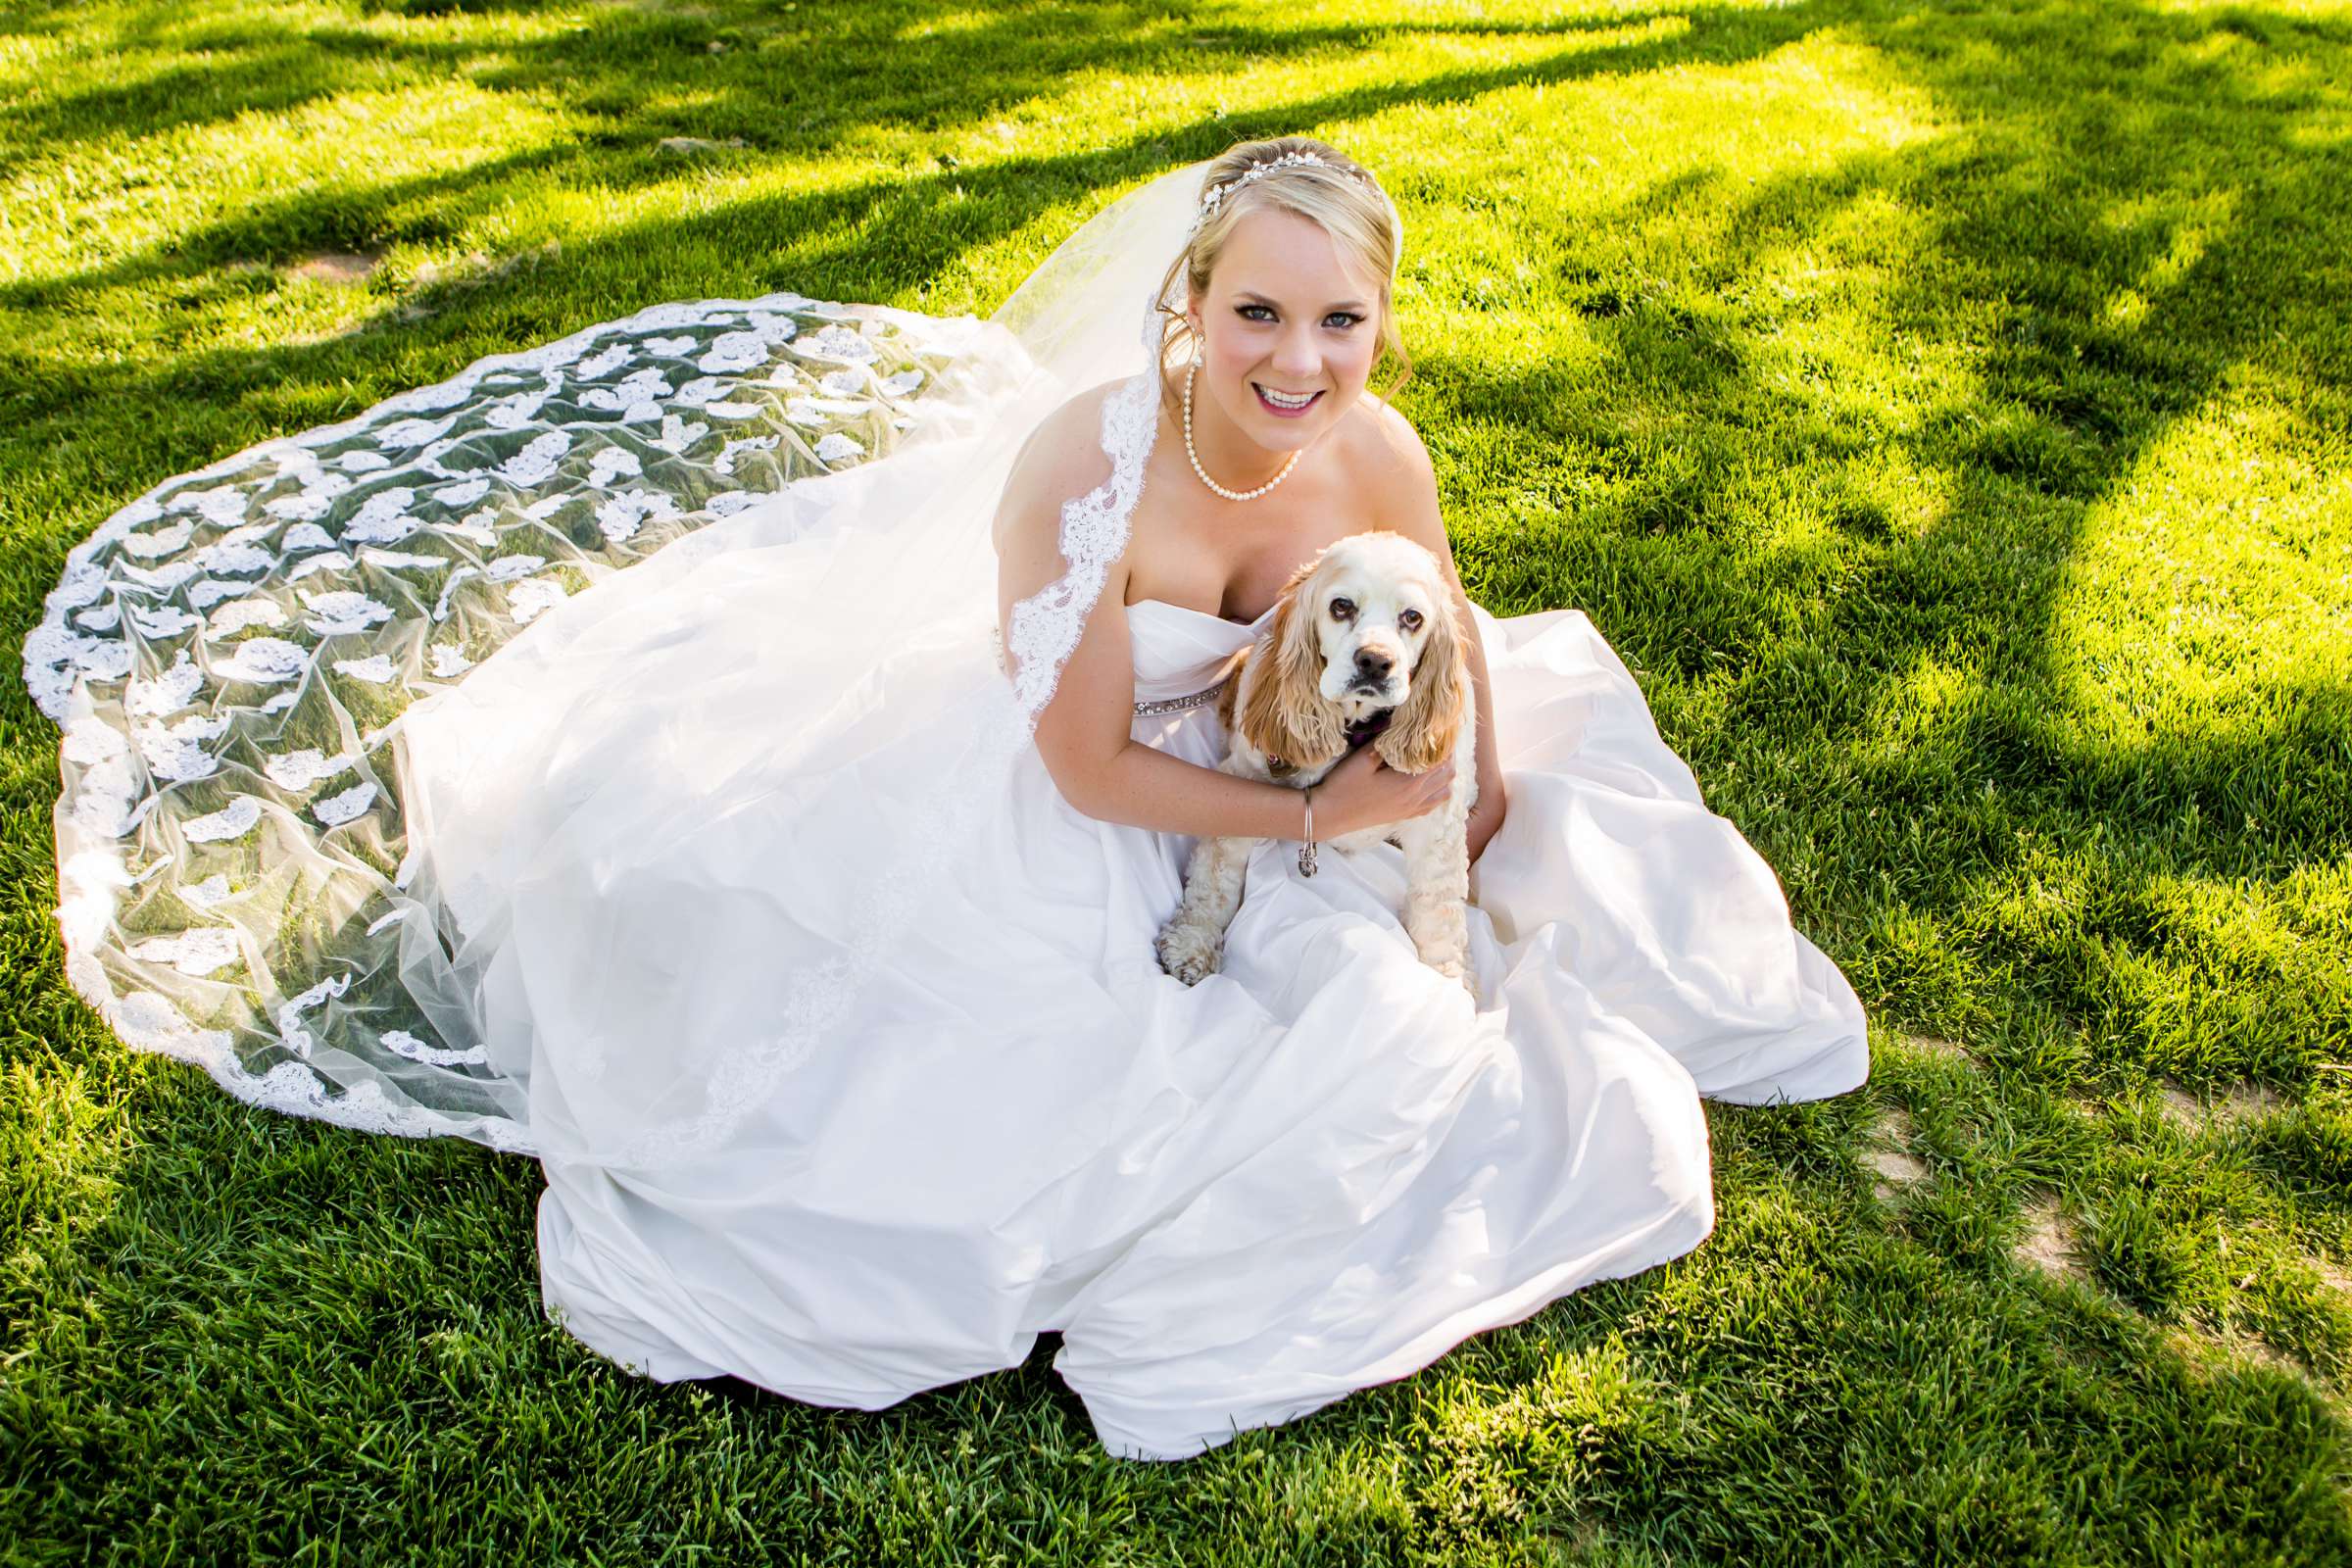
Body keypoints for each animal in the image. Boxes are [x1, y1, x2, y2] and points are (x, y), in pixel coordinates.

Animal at [1152, 526, 1467, 1001]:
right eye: (1341, 606)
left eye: (1412, 617)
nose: (1375, 661)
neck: (1357, 728)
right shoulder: (1242, 783)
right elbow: (1213, 881)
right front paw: (1193, 944)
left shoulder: (1438, 830)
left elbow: (1439, 916)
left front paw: (1449, 985)